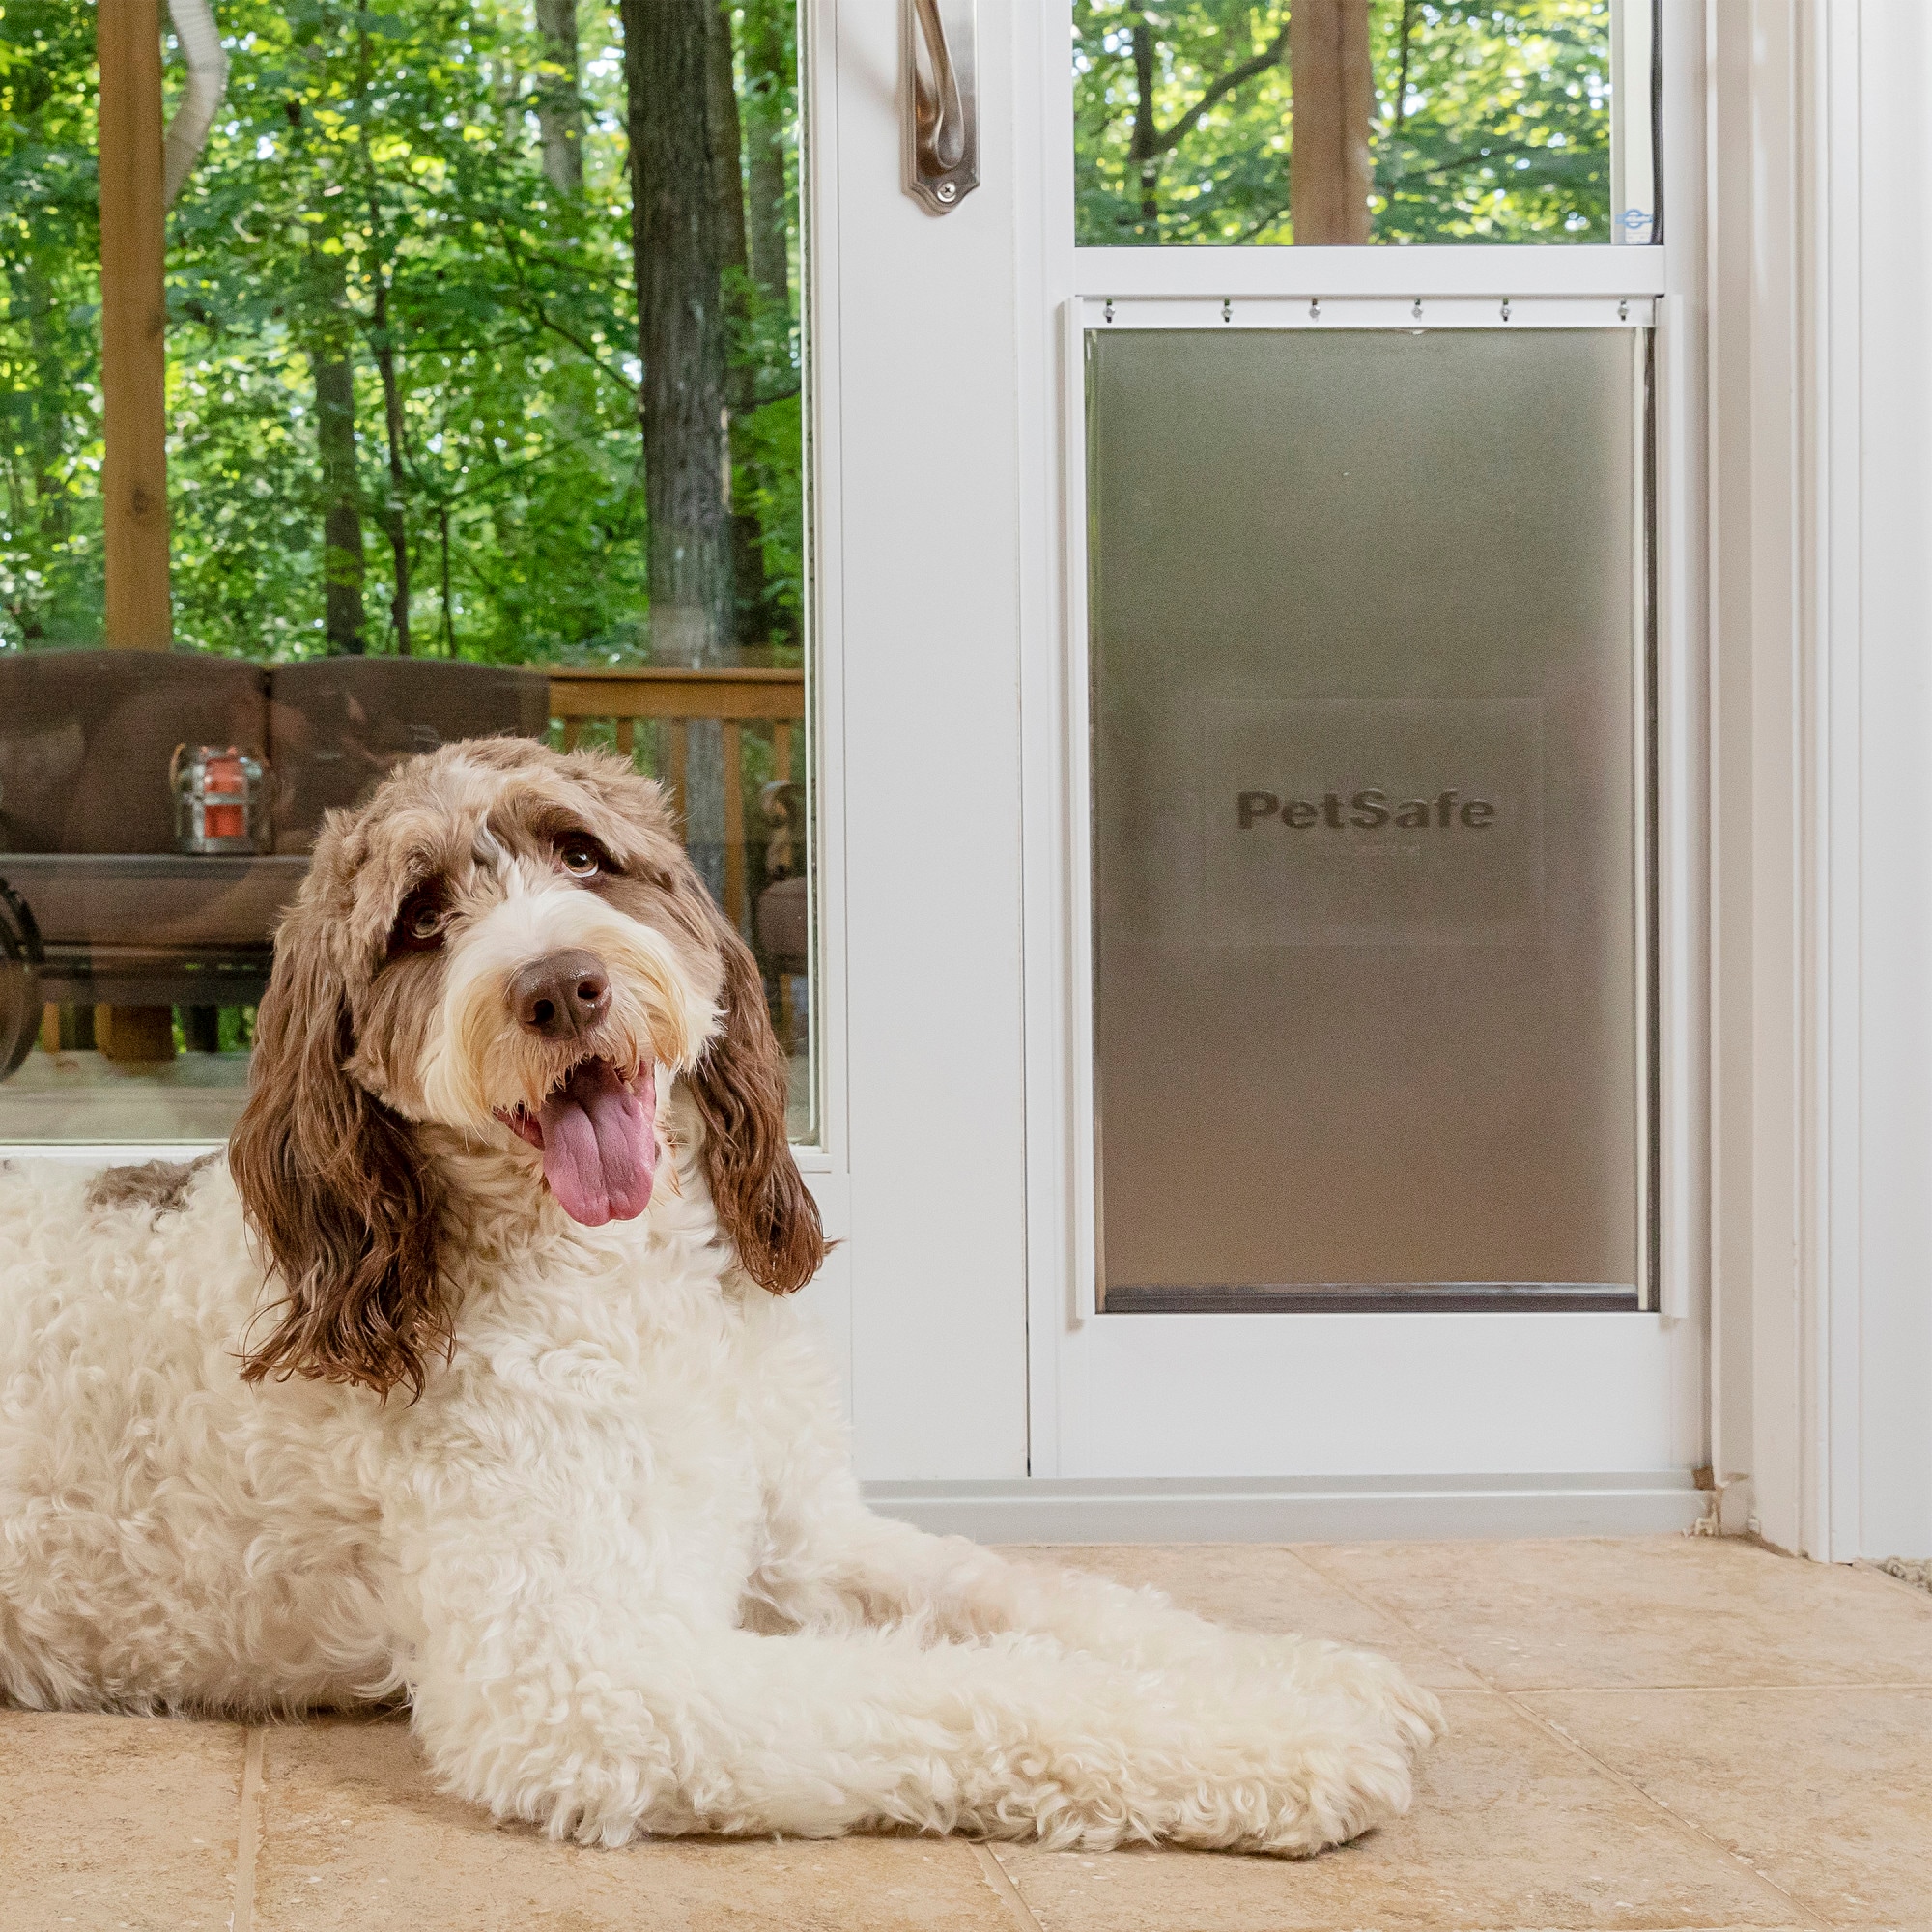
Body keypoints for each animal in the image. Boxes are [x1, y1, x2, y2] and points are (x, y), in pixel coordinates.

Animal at [0, 742, 1445, 1855]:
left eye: (584, 856)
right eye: (420, 919)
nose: (561, 984)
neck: (630, 1295)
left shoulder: (805, 1537)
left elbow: (1047, 1603)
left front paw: (1318, 1670)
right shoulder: (594, 1678)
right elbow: (972, 1693)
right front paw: (1291, 1739)